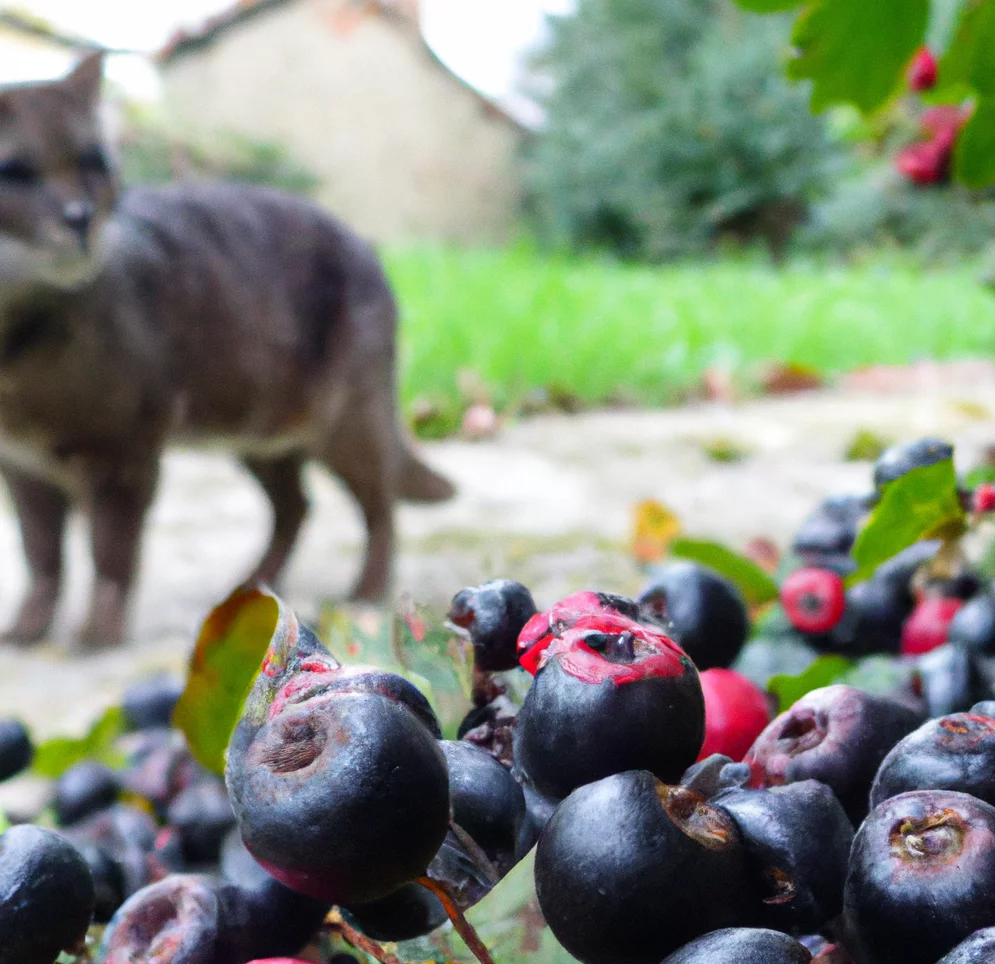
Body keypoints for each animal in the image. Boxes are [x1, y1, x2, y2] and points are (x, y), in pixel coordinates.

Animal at [0, 50, 456, 640]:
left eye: (92, 163)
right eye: (15, 171)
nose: (79, 216)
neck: (15, 354)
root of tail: (366, 244)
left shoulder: (125, 453)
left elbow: (110, 553)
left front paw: (97, 634)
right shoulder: (23, 468)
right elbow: (42, 557)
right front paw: (27, 629)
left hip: (348, 422)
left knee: (380, 506)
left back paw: (364, 594)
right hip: (261, 435)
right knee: (296, 506)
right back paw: (251, 590)